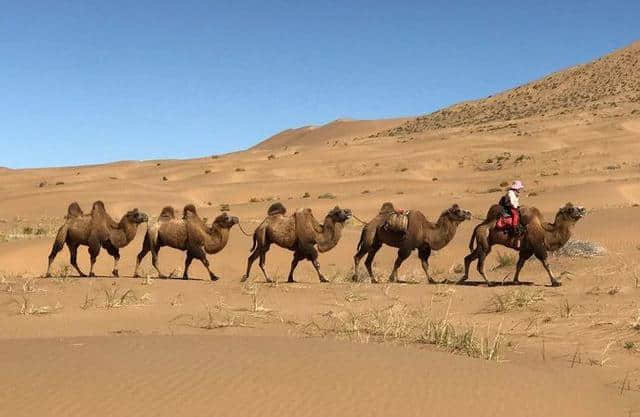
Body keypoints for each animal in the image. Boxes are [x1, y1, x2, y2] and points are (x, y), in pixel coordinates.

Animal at [460, 202, 592, 286]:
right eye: (570, 209)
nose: (583, 209)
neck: (545, 231)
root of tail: (479, 226)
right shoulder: (538, 247)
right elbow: (546, 264)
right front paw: (555, 282)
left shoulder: (527, 250)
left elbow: (519, 264)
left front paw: (516, 280)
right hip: (484, 242)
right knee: (480, 265)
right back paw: (489, 283)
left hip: (484, 244)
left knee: (468, 258)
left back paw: (463, 278)